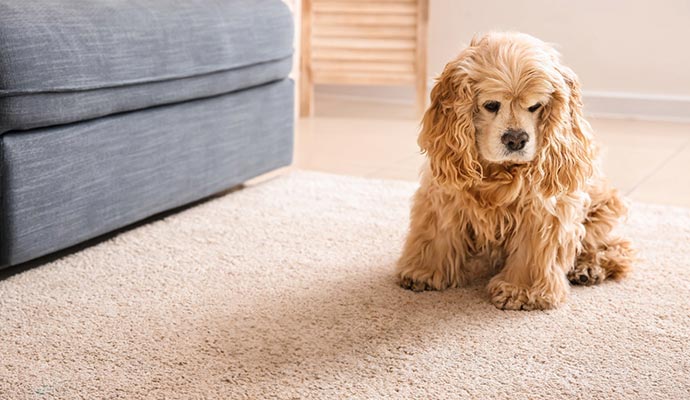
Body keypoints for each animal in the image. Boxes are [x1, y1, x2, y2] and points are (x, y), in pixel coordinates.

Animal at [396, 32, 632, 310]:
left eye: (535, 106)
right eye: (491, 105)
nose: (516, 139)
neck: (498, 172)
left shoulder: (543, 210)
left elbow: (532, 251)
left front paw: (521, 291)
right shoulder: (444, 195)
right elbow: (436, 234)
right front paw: (423, 271)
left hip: (602, 208)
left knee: (615, 246)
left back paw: (587, 268)